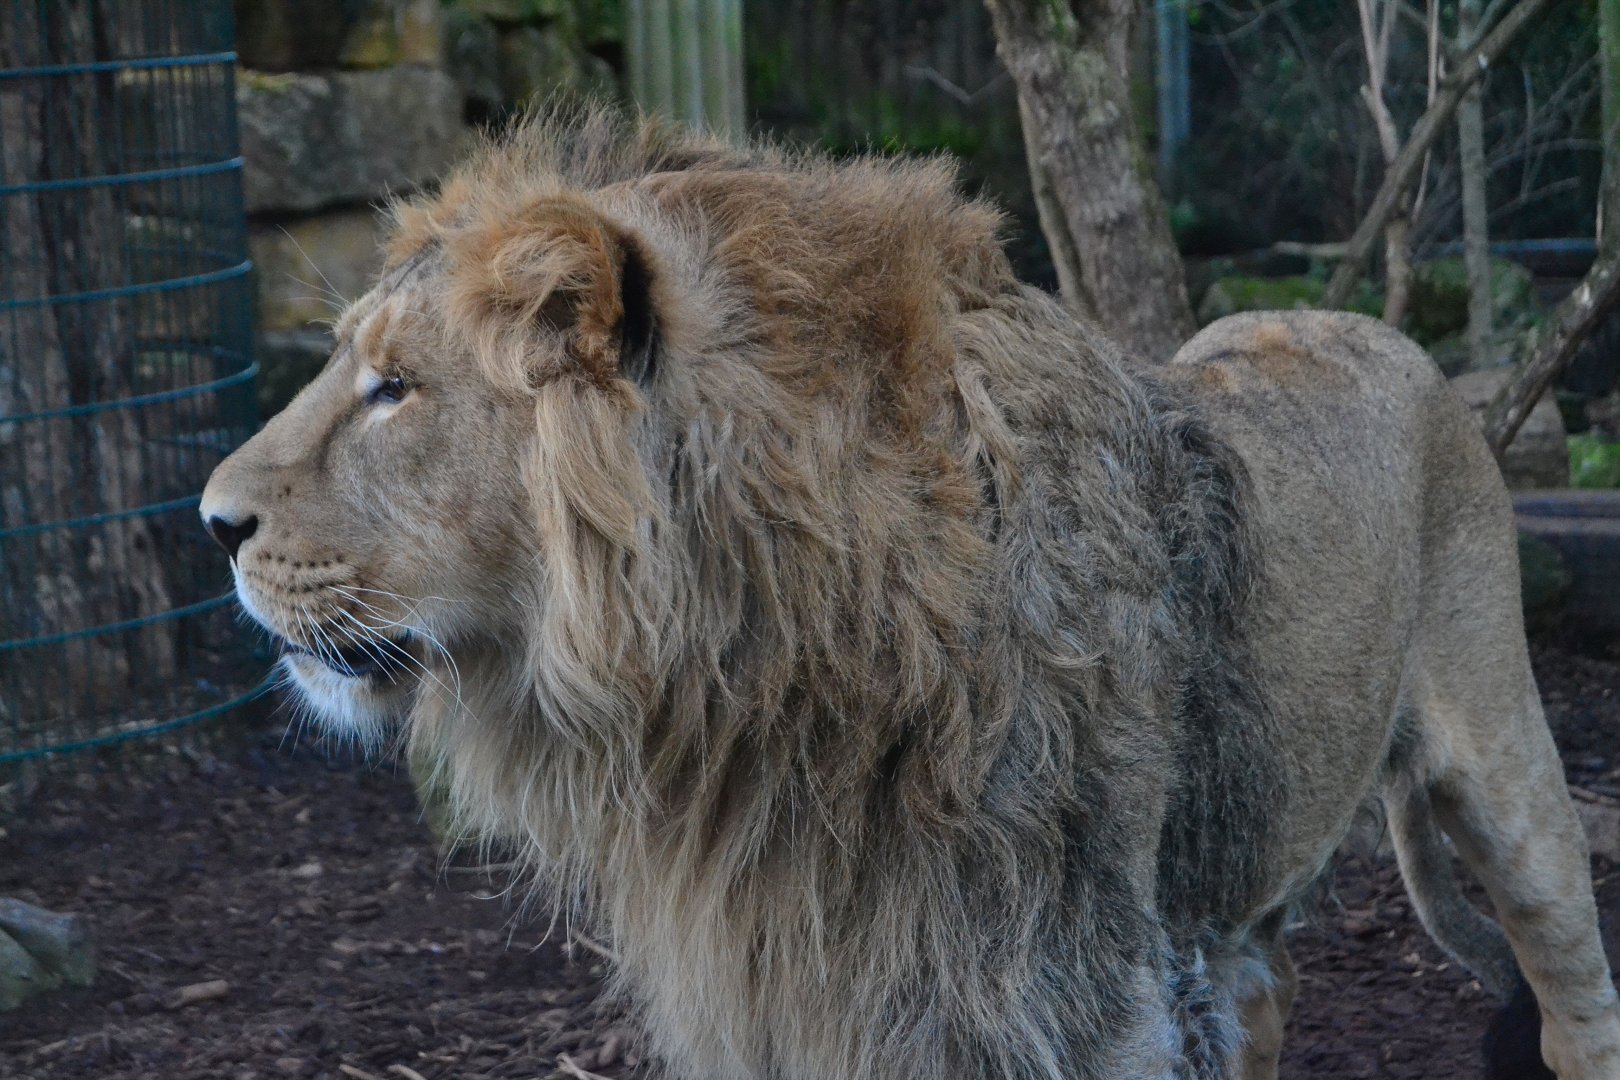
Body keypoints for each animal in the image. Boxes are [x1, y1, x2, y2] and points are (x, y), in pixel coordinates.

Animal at [200, 108, 1620, 1079]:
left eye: (395, 389)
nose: (211, 522)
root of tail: (1374, 328)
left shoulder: (1067, 986)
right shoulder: (796, 983)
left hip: (1507, 769)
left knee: (1576, 990)